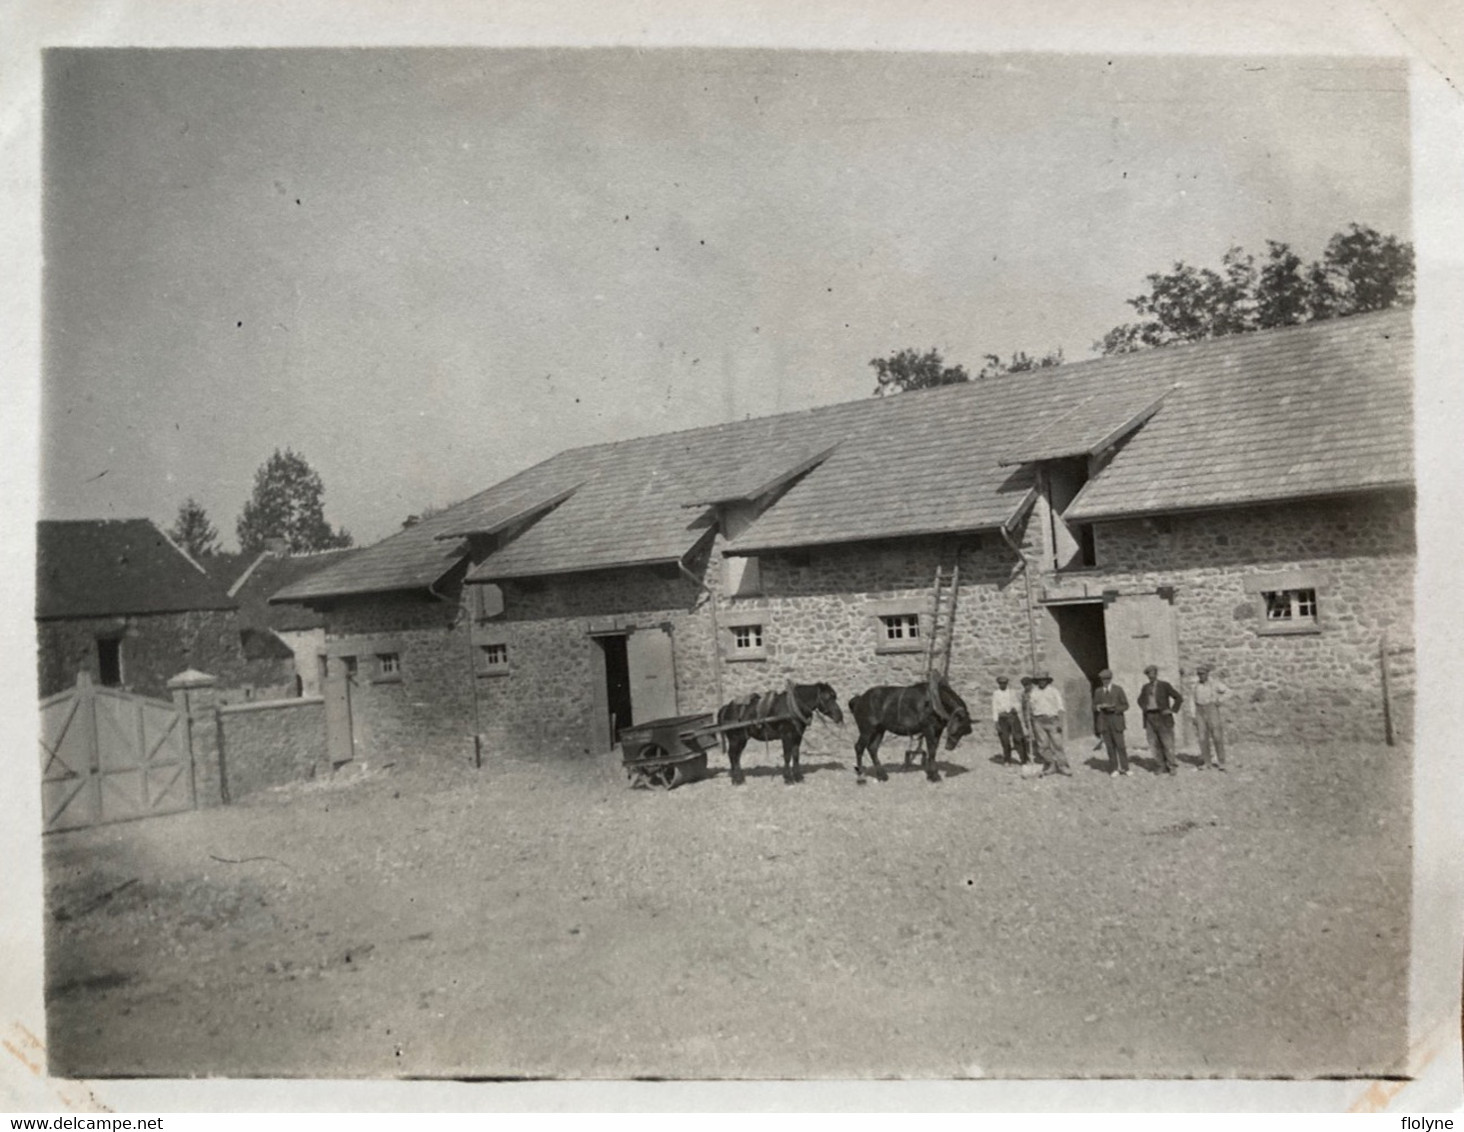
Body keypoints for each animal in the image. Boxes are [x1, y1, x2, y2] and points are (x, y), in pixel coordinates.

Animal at [714, 679, 843, 784]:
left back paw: (740, 778)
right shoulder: (787, 736)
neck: (793, 706)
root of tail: (725, 708)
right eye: (828, 698)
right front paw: (788, 778)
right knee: (732, 755)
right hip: (735, 738)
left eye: (834, 697)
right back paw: (736, 779)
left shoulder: (797, 736)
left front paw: (798, 777)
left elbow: (796, 755)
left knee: (737, 756)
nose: (840, 717)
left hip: (742, 739)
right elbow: (787, 756)